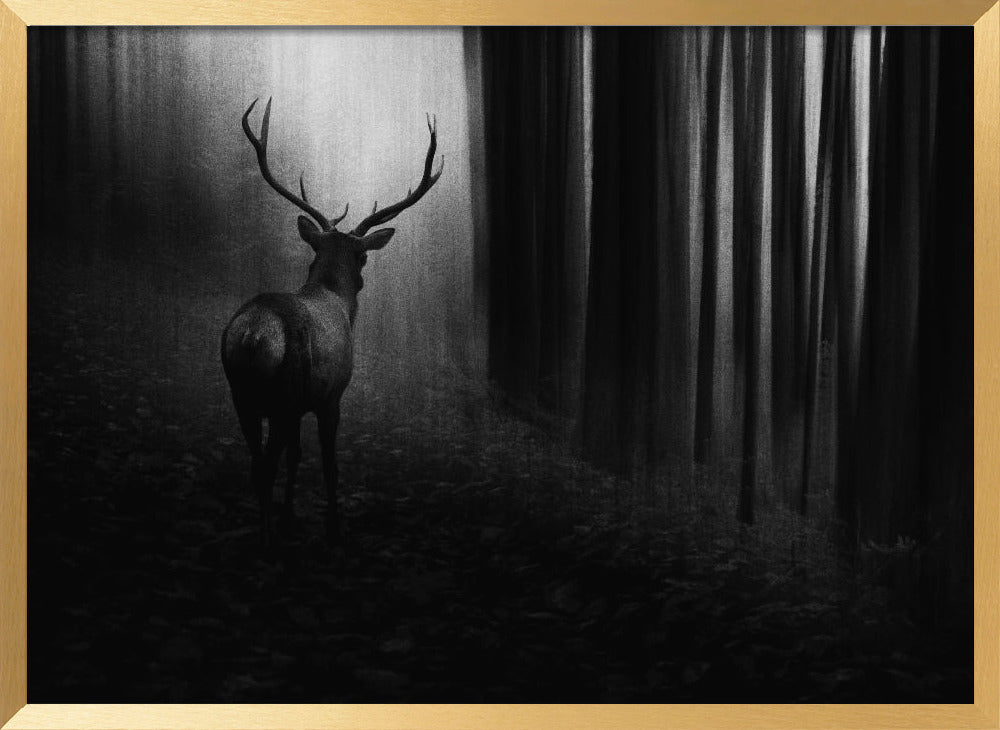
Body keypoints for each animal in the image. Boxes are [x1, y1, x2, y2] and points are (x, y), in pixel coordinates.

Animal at [221, 97, 443, 545]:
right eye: (364, 255)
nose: (362, 274)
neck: (335, 299)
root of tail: (253, 334)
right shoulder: (331, 396)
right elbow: (328, 462)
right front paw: (334, 525)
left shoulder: (302, 405)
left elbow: (296, 457)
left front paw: (290, 513)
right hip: (284, 392)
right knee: (264, 466)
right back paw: (268, 540)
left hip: (242, 394)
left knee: (257, 462)